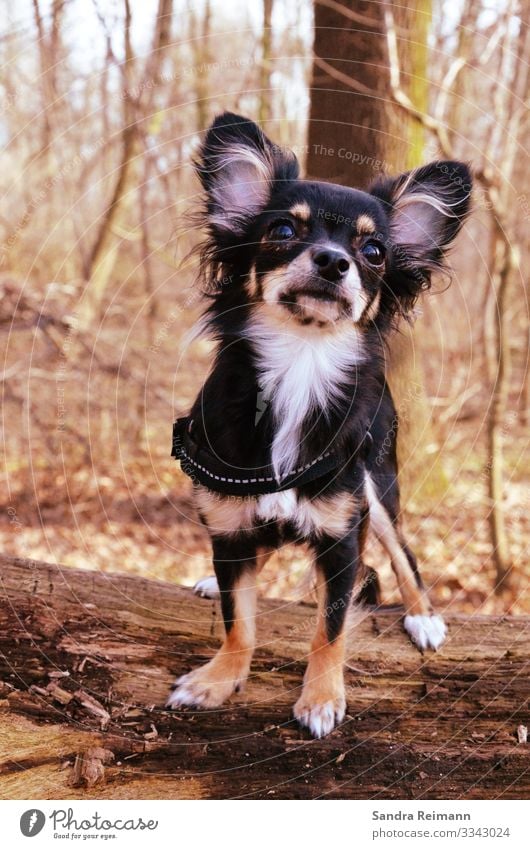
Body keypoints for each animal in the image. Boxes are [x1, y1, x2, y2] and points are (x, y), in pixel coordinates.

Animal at [166, 111, 470, 736]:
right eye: (283, 230)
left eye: (375, 250)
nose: (333, 260)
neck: (300, 364)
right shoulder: (228, 526)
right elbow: (239, 619)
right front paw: (219, 677)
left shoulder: (341, 538)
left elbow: (330, 628)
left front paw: (323, 697)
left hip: (379, 487)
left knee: (404, 554)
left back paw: (423, 616)